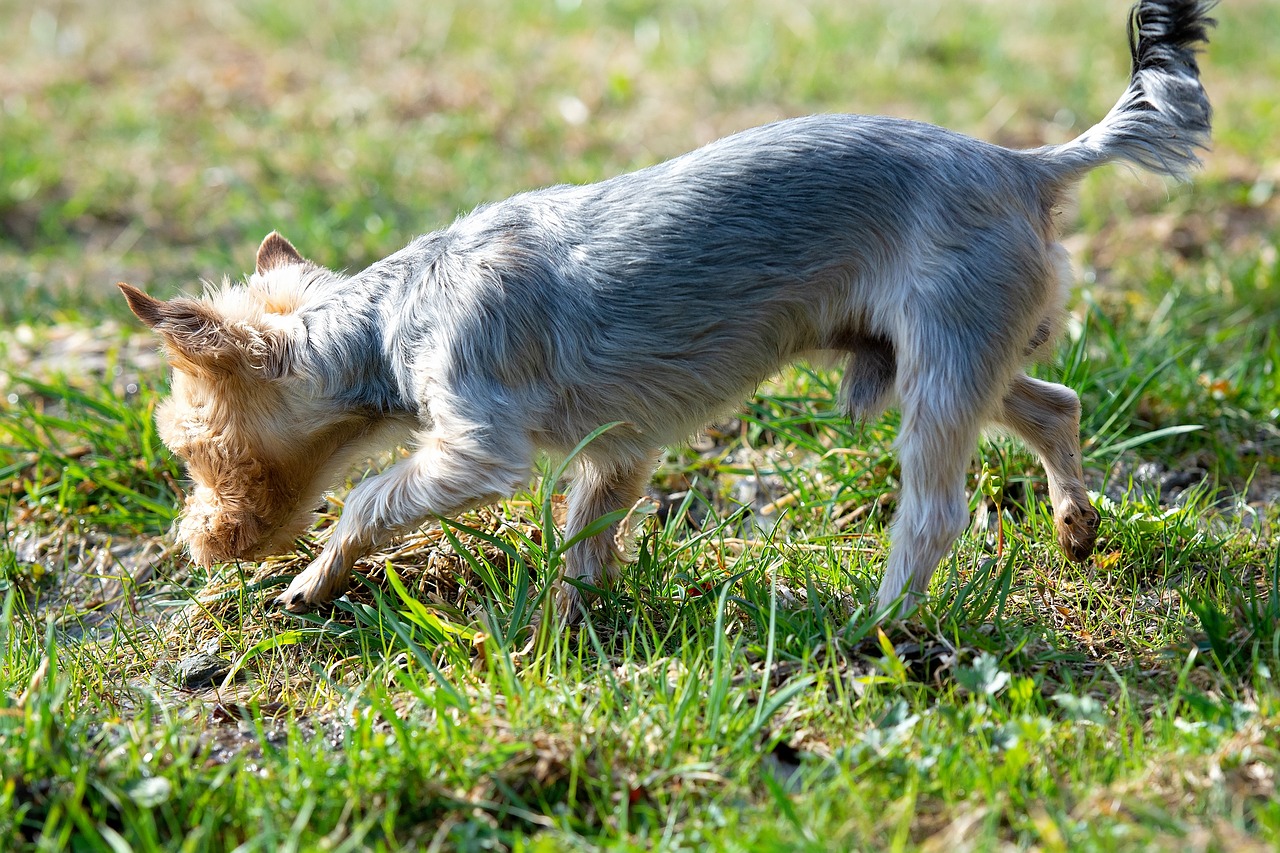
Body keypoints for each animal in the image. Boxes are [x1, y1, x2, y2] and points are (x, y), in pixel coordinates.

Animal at [117, 3, 1208, 622]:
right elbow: (587, 532)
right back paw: (1075, 528)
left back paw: (881, 625)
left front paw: (309, 582)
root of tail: (1028, 166)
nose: (198, 545)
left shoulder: (475, 445)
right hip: (934, 348)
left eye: (196, 453)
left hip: (940, 355)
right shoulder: (619, 445)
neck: (387, 320)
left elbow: (369, 499)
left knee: (933, 510)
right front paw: (570, 625)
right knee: (1052, 402)